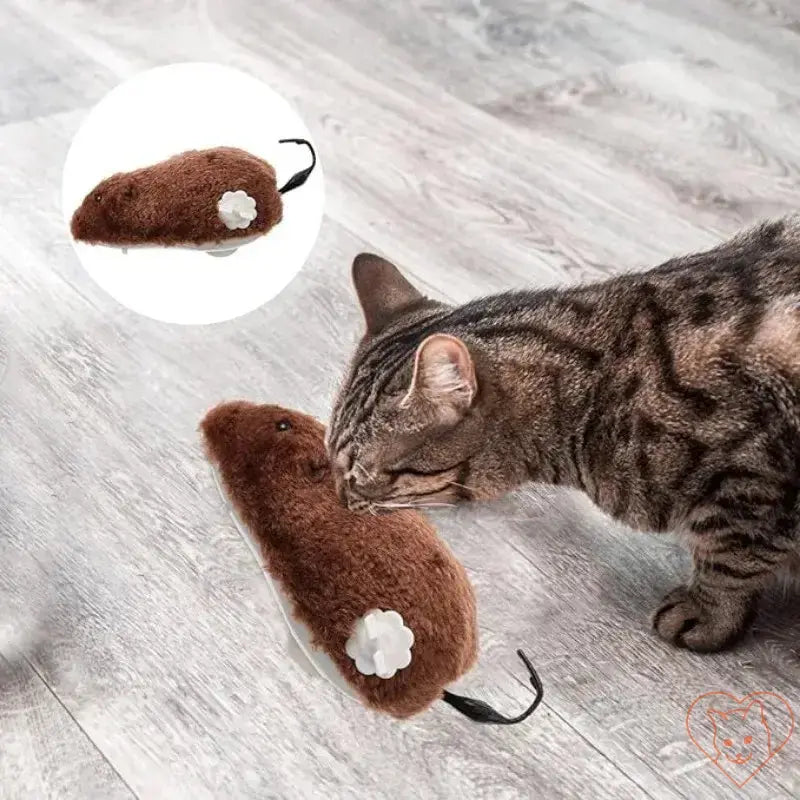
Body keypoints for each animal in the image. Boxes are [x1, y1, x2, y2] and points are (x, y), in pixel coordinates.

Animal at [326, 217, 800, 648]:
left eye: (363, 476)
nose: (340, 502)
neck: (595, 393)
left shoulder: (752, 487)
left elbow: (729, 562)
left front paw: (706, 615)